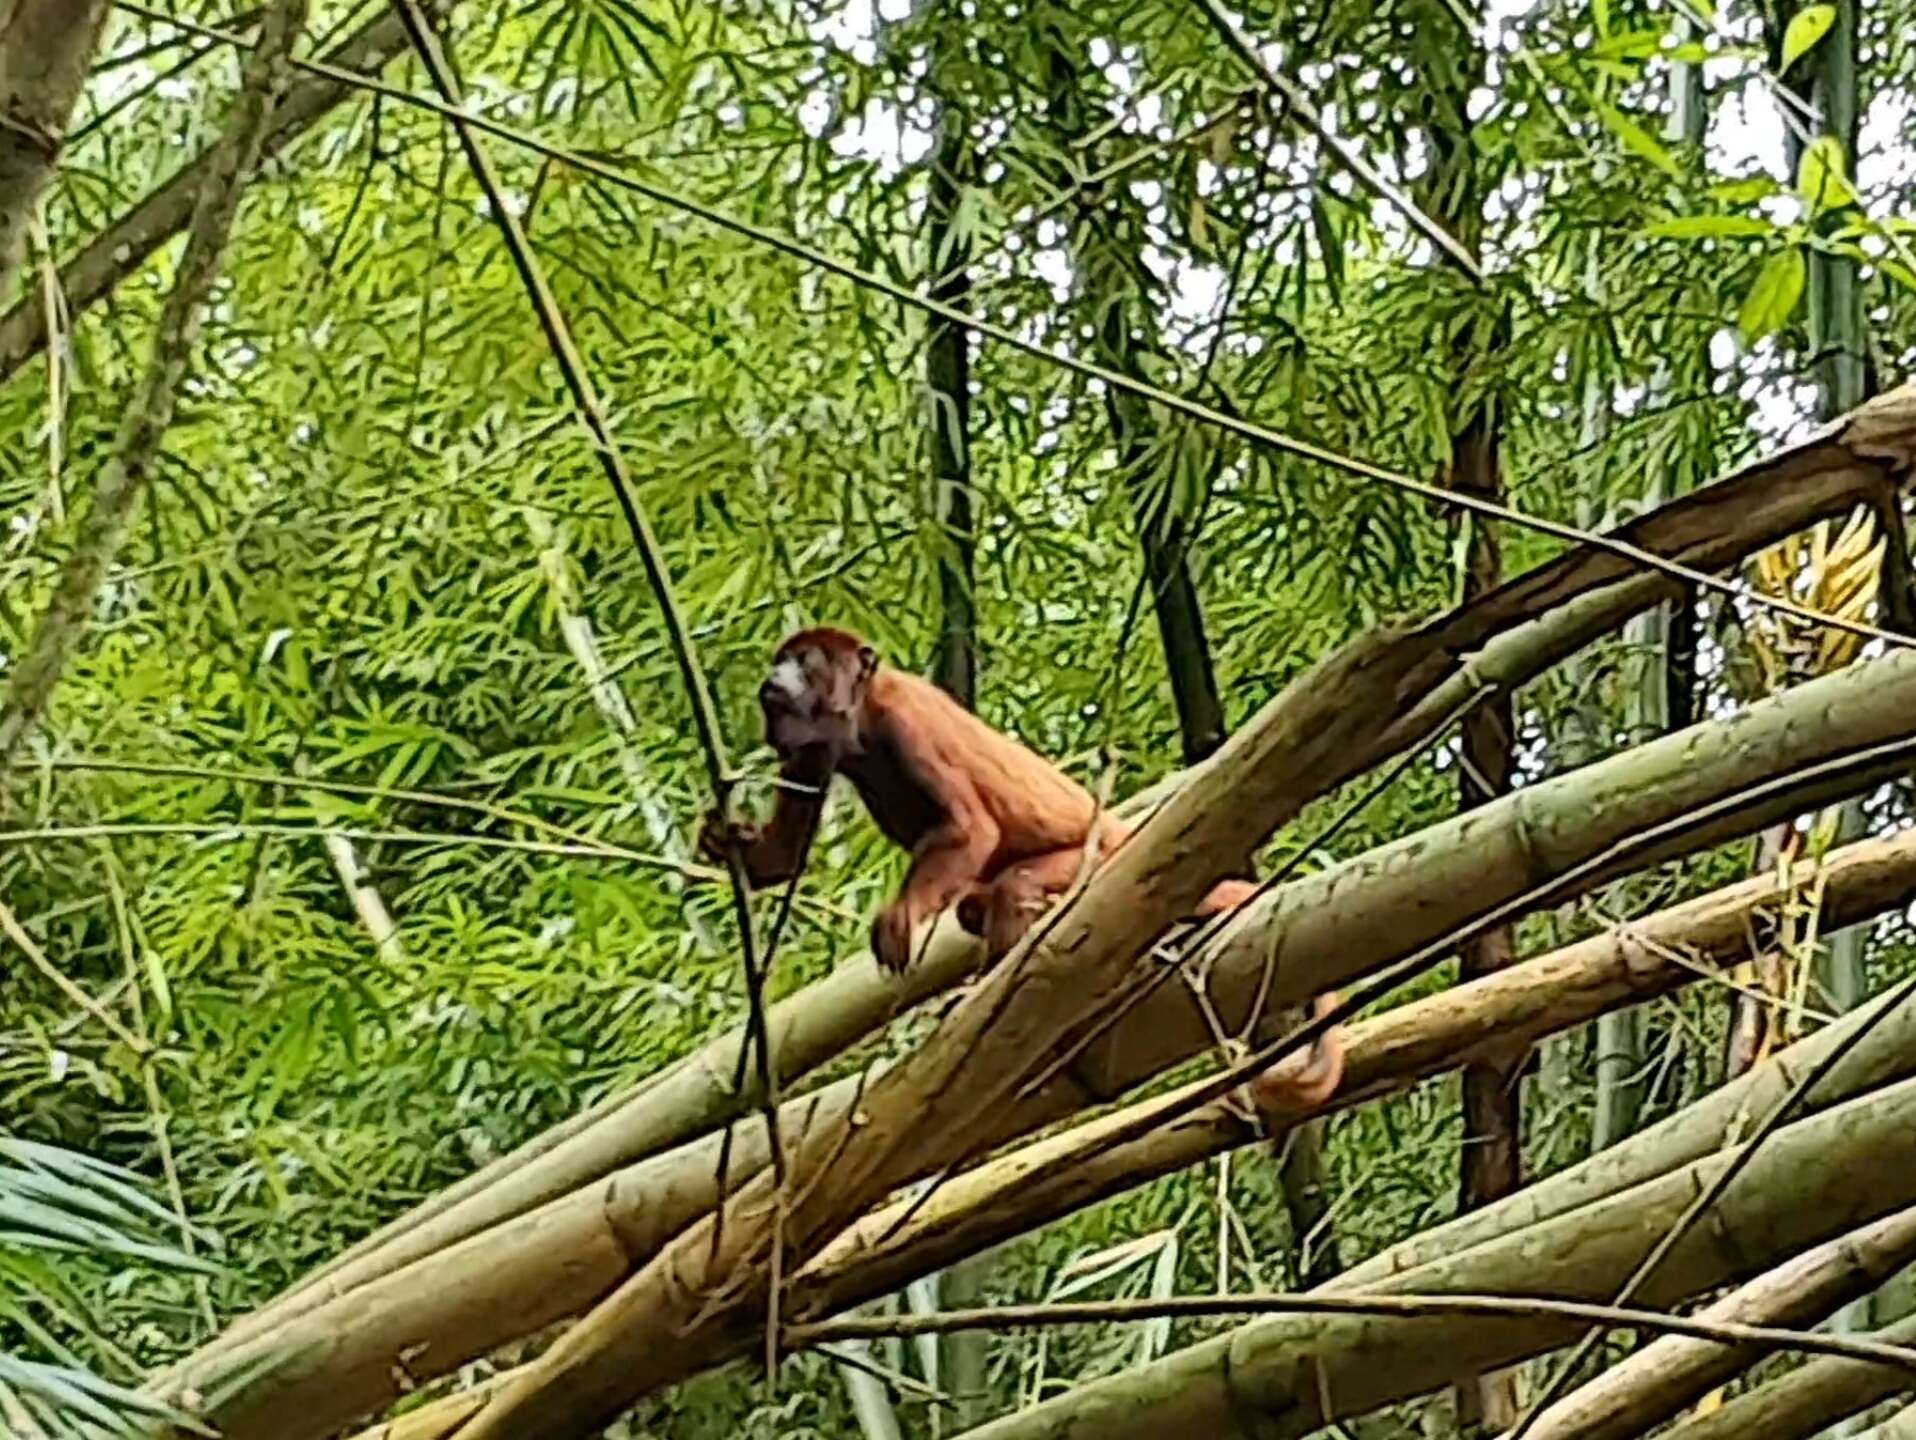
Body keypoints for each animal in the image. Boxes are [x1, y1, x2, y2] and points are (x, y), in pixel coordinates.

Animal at [705, 620, 1348, 1102]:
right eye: (782, 659)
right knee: (975, 906)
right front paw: (726, 838)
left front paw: (898, 919)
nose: (774, 676)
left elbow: (971, 829)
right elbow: (784, 857)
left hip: (1097, 867)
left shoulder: (903, 718)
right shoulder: (813, 748)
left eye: (805, 659)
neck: (859, 718)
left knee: (1014, 887)